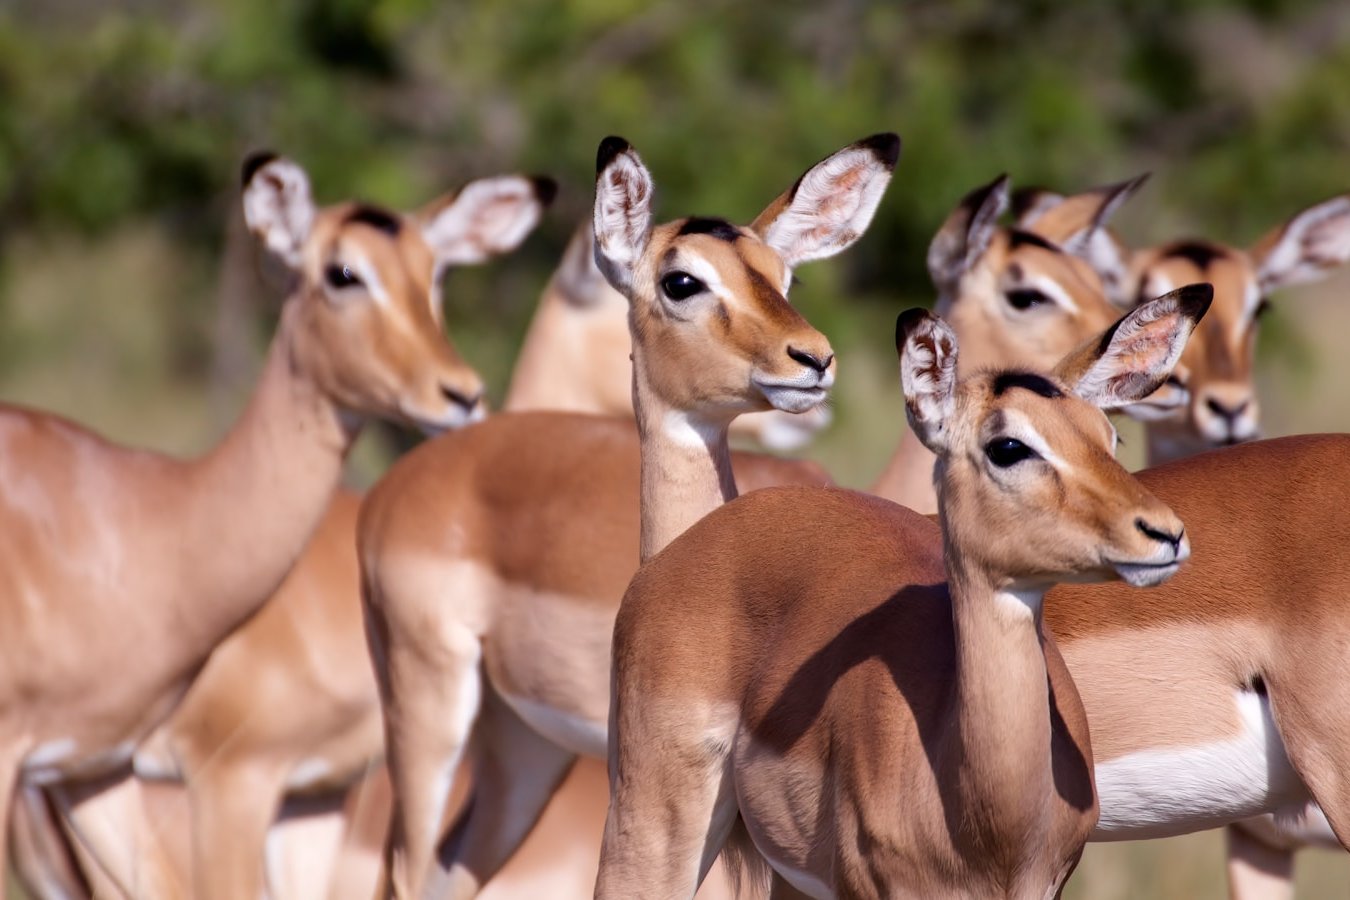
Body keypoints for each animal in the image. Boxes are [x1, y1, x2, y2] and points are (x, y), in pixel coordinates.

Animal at [0, 151, 554, 898]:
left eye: (434, 273)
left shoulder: (102, 765)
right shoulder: (230, 780)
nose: (461, 394)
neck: (148, 527)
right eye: (342, 272)